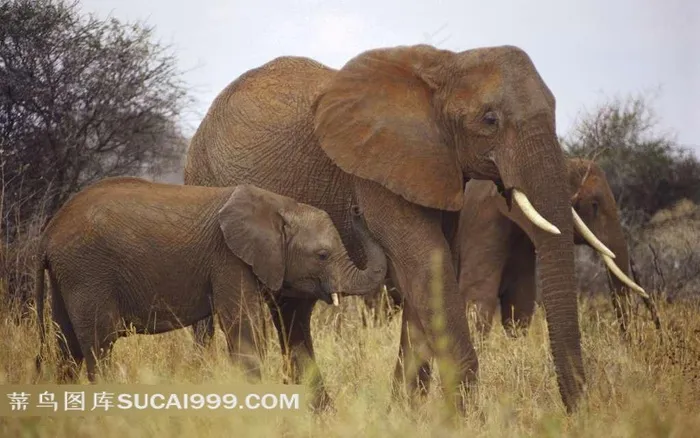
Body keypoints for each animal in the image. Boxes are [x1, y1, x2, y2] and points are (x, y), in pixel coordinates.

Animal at [33, 177, 387, 384]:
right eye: (323, 255)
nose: (356, 208)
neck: (279, 205)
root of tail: (48, 234)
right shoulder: (228, 259)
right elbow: (243, 328)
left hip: (70, 276)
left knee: (67, 346)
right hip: (88, 271)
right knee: (99, 344)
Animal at [183, 44, 608, 413]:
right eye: (490, 120)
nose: (577, 413)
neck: (444, 67)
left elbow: (431, 273)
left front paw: (404, 415)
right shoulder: (375, 173)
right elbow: (426, 264)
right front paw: (466, 421)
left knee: (293, 313)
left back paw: (319, 414)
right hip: (202, 183)